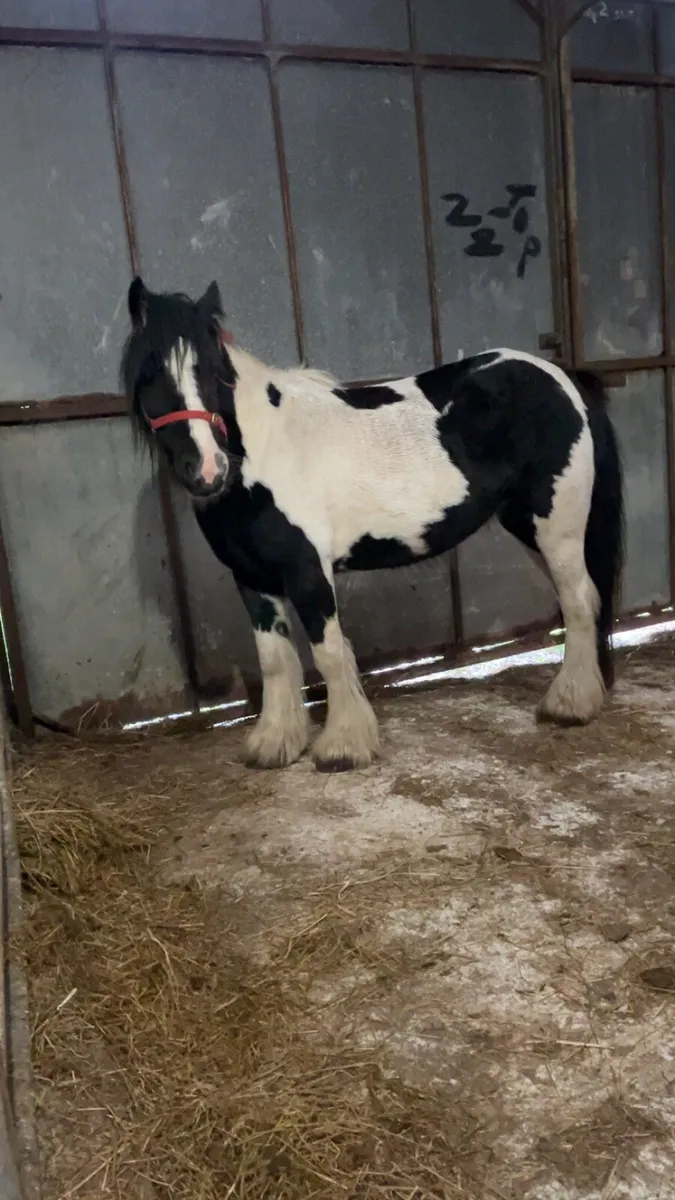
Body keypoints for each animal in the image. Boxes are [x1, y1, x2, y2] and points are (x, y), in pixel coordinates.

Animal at [121, 277, 624, 773]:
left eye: (211, 371)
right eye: (148, 374)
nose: (206, 470)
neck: (261, 454)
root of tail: (562, 380)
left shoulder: (308, 571)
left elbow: (328, 653)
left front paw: (342, 746)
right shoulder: (252, 579)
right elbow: (275, 660)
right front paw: (275, 743)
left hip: (557, 527)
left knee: (579, 601)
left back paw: (569, 705)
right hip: (531, 529)